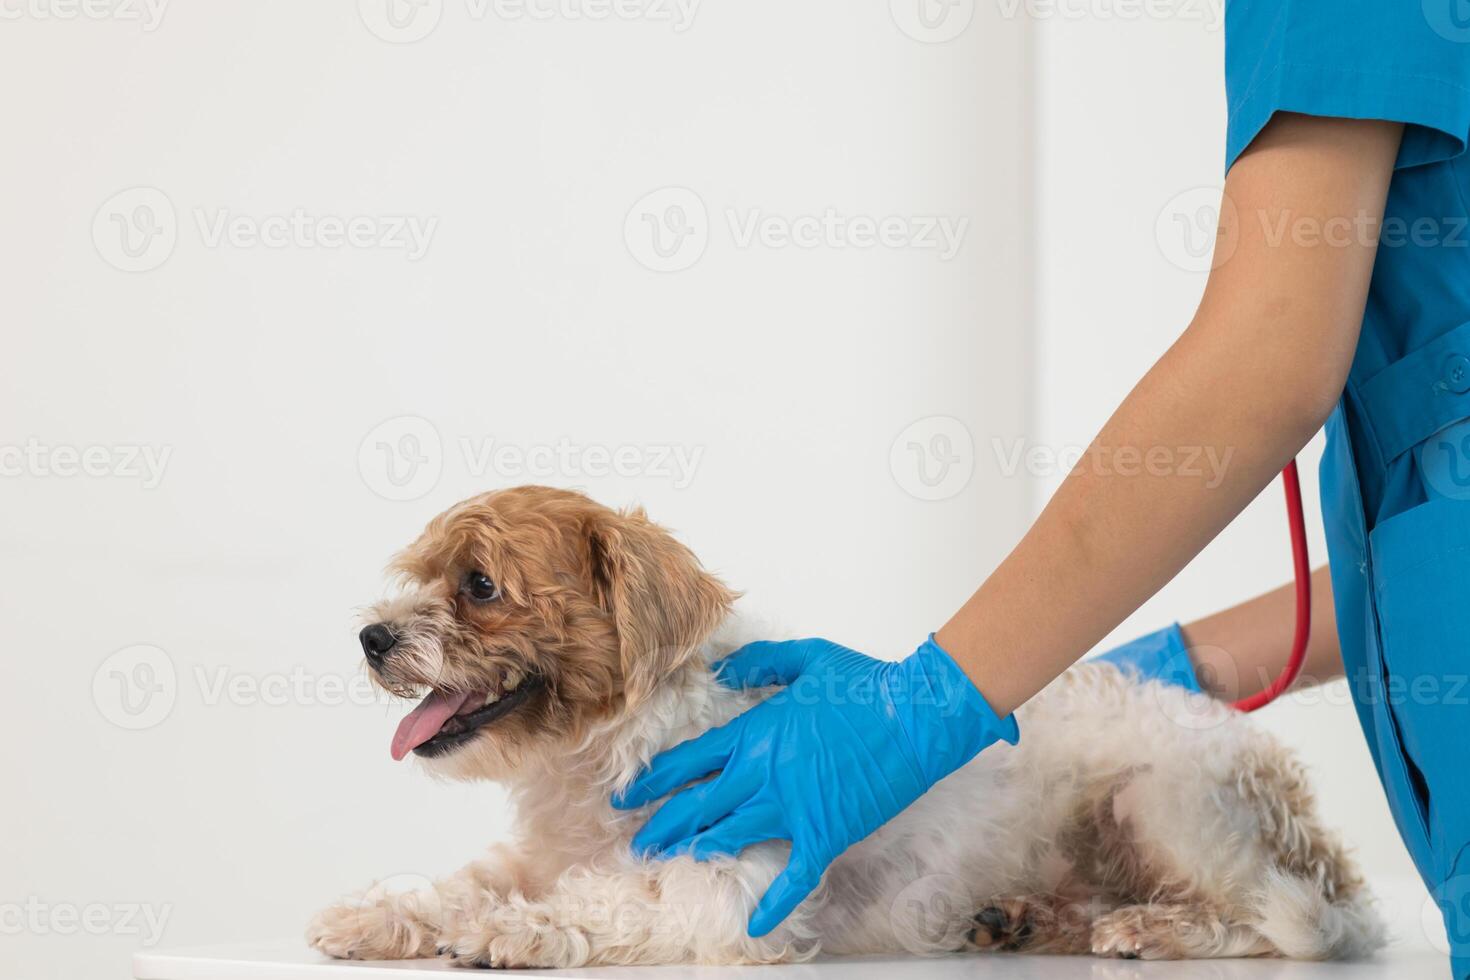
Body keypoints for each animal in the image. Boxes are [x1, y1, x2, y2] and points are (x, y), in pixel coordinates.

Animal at [304, 487, 1381, 969]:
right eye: (419, 575)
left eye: (480, 585)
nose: (370, 635)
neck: (601, 754)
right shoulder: (532, 852)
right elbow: (465, 879)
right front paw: (380, 913)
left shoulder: (727, 893)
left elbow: (596, 901)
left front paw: (501, 932)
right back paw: (1027, 917)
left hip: (1164, 802)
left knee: (1270, 924)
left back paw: (1149, 927)